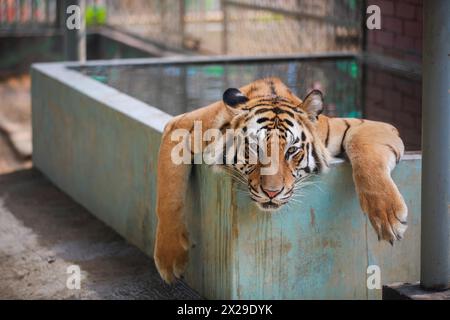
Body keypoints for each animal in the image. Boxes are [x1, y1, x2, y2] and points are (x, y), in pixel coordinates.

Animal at [156, 77, 408, 282]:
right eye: (255, 148)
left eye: (291, 151)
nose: (272, 192)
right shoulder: (181, 126)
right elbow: (168, 196)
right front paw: (170, 258)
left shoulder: (372, 126)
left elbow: (366, 153)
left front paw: (388, 216)